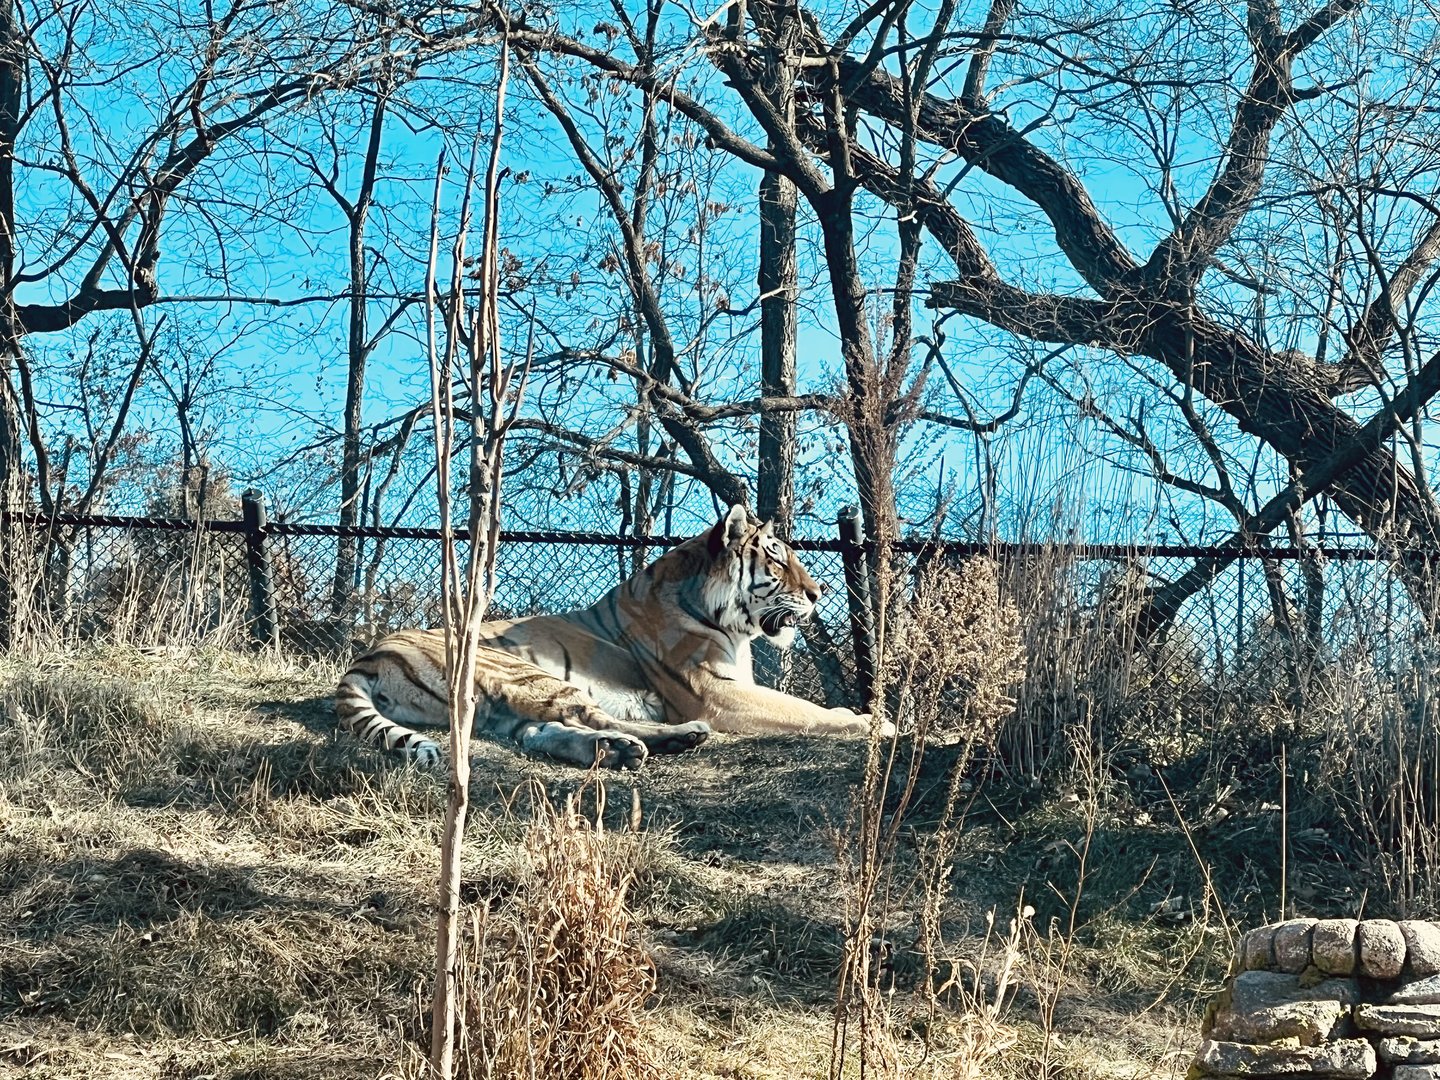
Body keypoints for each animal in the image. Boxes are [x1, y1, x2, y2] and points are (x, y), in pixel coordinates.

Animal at [334, 504, 881, 769]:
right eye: (775, 558)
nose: (818, 592)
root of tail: (372, 652)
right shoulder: (717, 694)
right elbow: (805, 711)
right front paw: (871, 722)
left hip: (502, 706)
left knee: (541, 734)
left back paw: (621, 750)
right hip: (525, 672)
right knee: (587, 717)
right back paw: (672, 738)